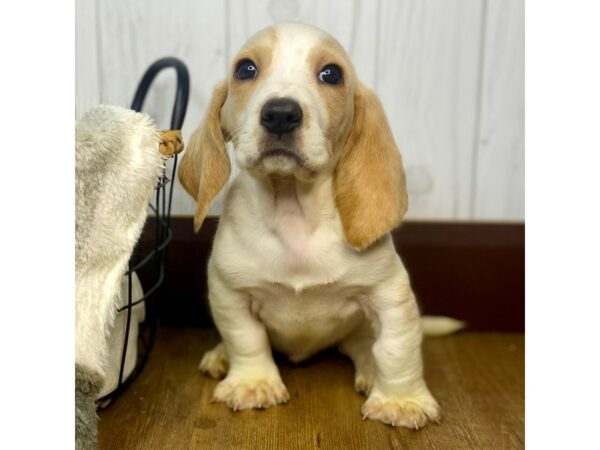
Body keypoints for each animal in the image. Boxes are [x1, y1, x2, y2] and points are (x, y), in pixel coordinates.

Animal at [180, 22, 438, 428]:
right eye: (245, 70)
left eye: (331, 74)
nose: (281, 114)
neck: (294, 213)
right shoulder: (230, 292)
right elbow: (246, 339)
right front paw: (253, 382)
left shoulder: (390, 294)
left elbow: (397, 349)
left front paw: (401, 400)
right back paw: (220, 356)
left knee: (366, 346)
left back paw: (369, 372)